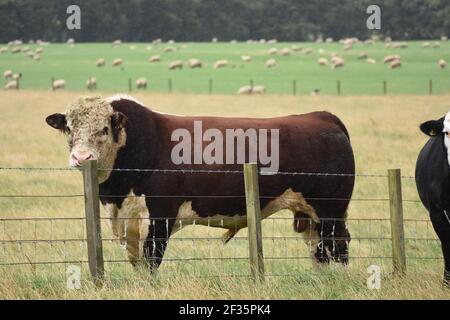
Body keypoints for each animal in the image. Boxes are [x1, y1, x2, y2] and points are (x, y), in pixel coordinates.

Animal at [45, 94, 356, 270]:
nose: (81, 157)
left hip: (330, 210)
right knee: (318, 248)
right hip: (308, 213)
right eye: (68, 129)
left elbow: (150, 261)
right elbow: (136, 262)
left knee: (338, 245)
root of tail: (321, 116)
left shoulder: (159, 216)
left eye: (104, 128)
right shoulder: (127, 220)